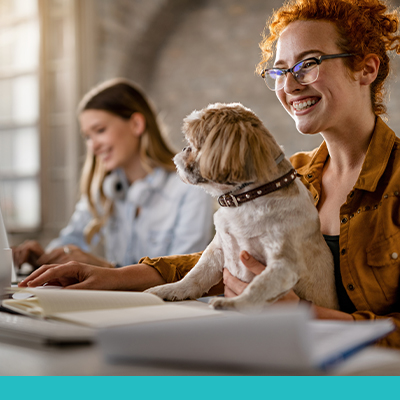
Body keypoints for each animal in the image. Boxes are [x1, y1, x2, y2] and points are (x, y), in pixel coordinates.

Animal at [145, 103, 340, 312]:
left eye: (196, 143)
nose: (184, 148)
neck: (248, 199)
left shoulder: (284, 265)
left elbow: (257, 287)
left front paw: (232, 303)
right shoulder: (217, 250)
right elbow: (195, 275)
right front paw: (169, 289)